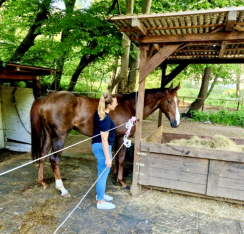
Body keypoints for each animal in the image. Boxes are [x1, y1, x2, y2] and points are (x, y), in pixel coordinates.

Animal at [30, 83, 179, 197]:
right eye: (169, 101)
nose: (176, 123)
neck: (129, 105)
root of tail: (45, 98)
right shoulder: (122, 137)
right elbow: (121, 158)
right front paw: (122, 182)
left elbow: (116, 157)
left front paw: (115, 176)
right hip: (59, 137)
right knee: (54, 160)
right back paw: (62, 189)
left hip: (48, 136)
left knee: (43, 155)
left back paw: (41, 181)